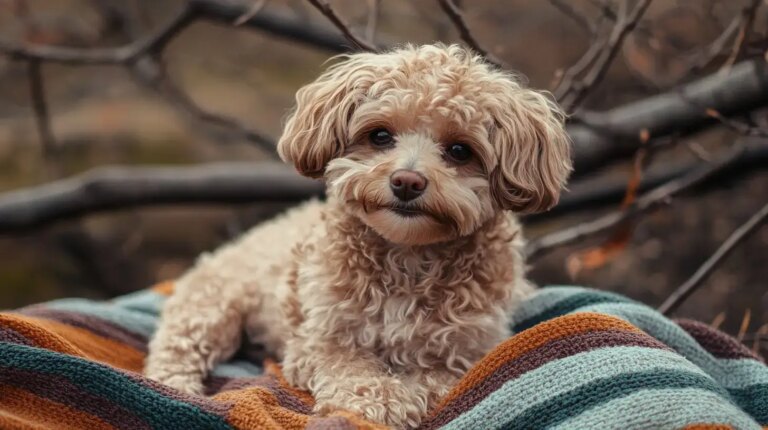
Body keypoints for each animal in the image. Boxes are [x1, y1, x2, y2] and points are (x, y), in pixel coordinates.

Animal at [144, 43, 568, 426]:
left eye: (460, 150)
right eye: (380, 136)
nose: (407, 181)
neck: (408, 255)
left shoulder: (462, 355)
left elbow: (429, 381)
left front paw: (395, 399)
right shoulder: (319, 339)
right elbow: (351, 369)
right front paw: (373, 401)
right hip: (213, 305)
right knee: (174, 349)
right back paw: (175, 388)